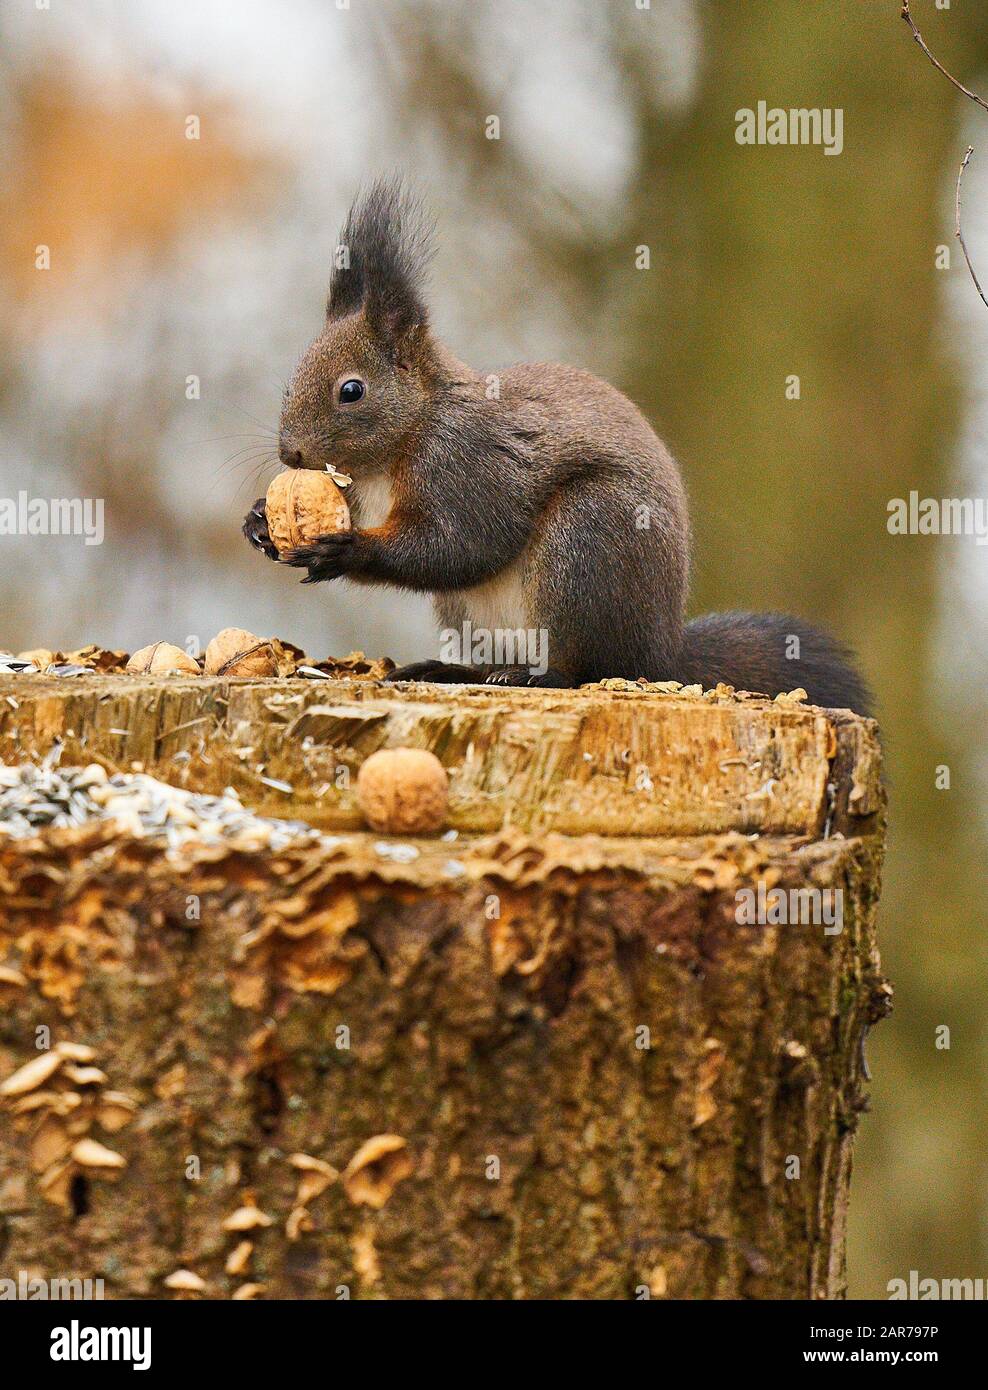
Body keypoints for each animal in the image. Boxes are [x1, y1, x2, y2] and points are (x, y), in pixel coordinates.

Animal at [243, 177, 867, 711]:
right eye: (291, 382)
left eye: (351, 390)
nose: (291, 454)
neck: (400, 443)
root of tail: (662, 655)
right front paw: (260, 523)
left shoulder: (467, 462)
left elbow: (460, 545)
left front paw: (345, 550)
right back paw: (455, 671)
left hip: (587, 544)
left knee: (580, 669)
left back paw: (534, 676)